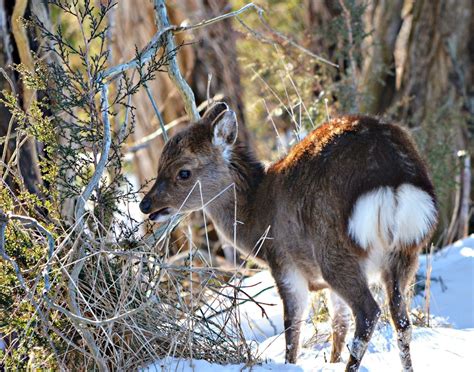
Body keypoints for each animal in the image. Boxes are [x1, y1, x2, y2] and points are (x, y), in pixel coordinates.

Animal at [140, 102, 436, 372]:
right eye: (160, 164)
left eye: (184, 172)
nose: (145, 205)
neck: (257, 218)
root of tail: (392, 178)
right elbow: (338, 323)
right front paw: (331, 360)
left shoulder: (283, 261)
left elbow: (292, 328)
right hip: (405, 252)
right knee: (401, 320)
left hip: (334, 250)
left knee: (368, 312)